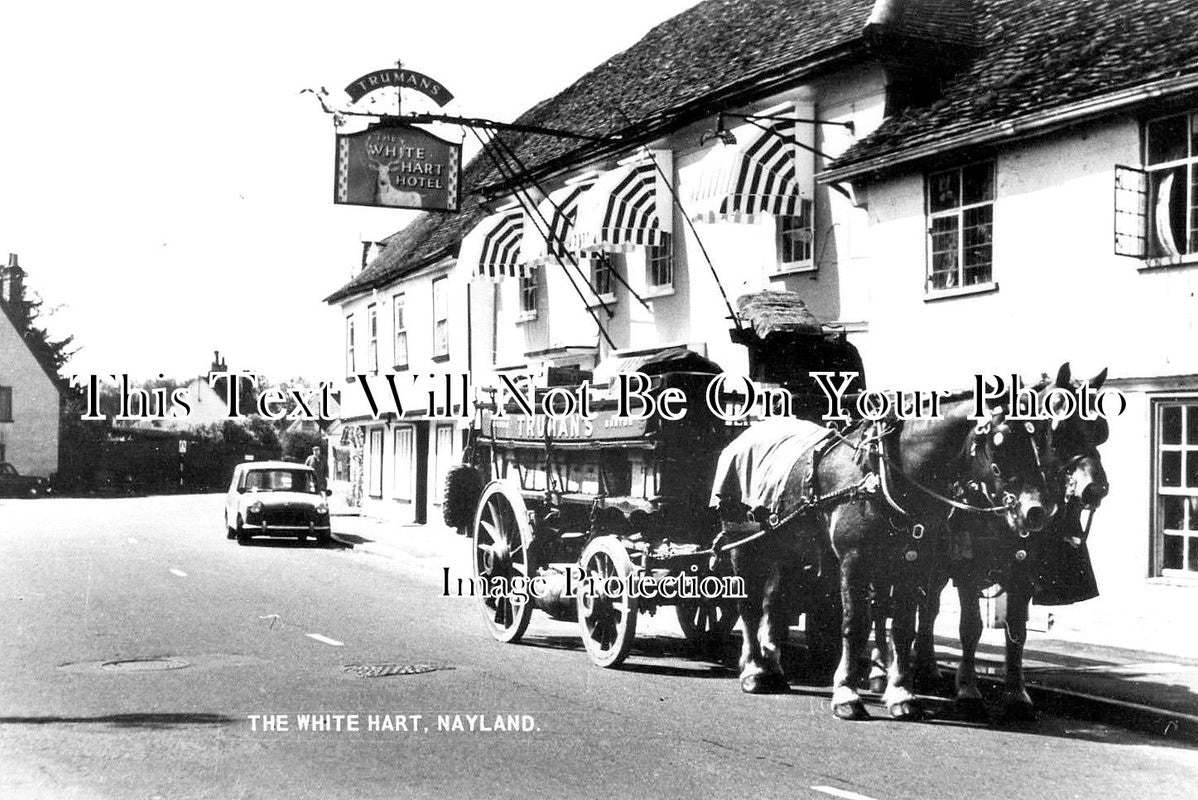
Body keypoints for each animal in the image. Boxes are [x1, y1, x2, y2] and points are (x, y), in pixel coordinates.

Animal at [709, 390, 1049, 723]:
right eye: (1001, 441)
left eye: (1044, 442)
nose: (1034, 512)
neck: (883, 476)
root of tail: (746, 435)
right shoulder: (854, 561)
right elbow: (855, 623)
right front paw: (847, 693)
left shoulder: (912, 563)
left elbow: (902, 627)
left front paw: (901, 694)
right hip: (742, 543)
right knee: (749, 606)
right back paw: (754, 670)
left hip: (787, 550)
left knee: (774, 605)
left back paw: (773, 668)